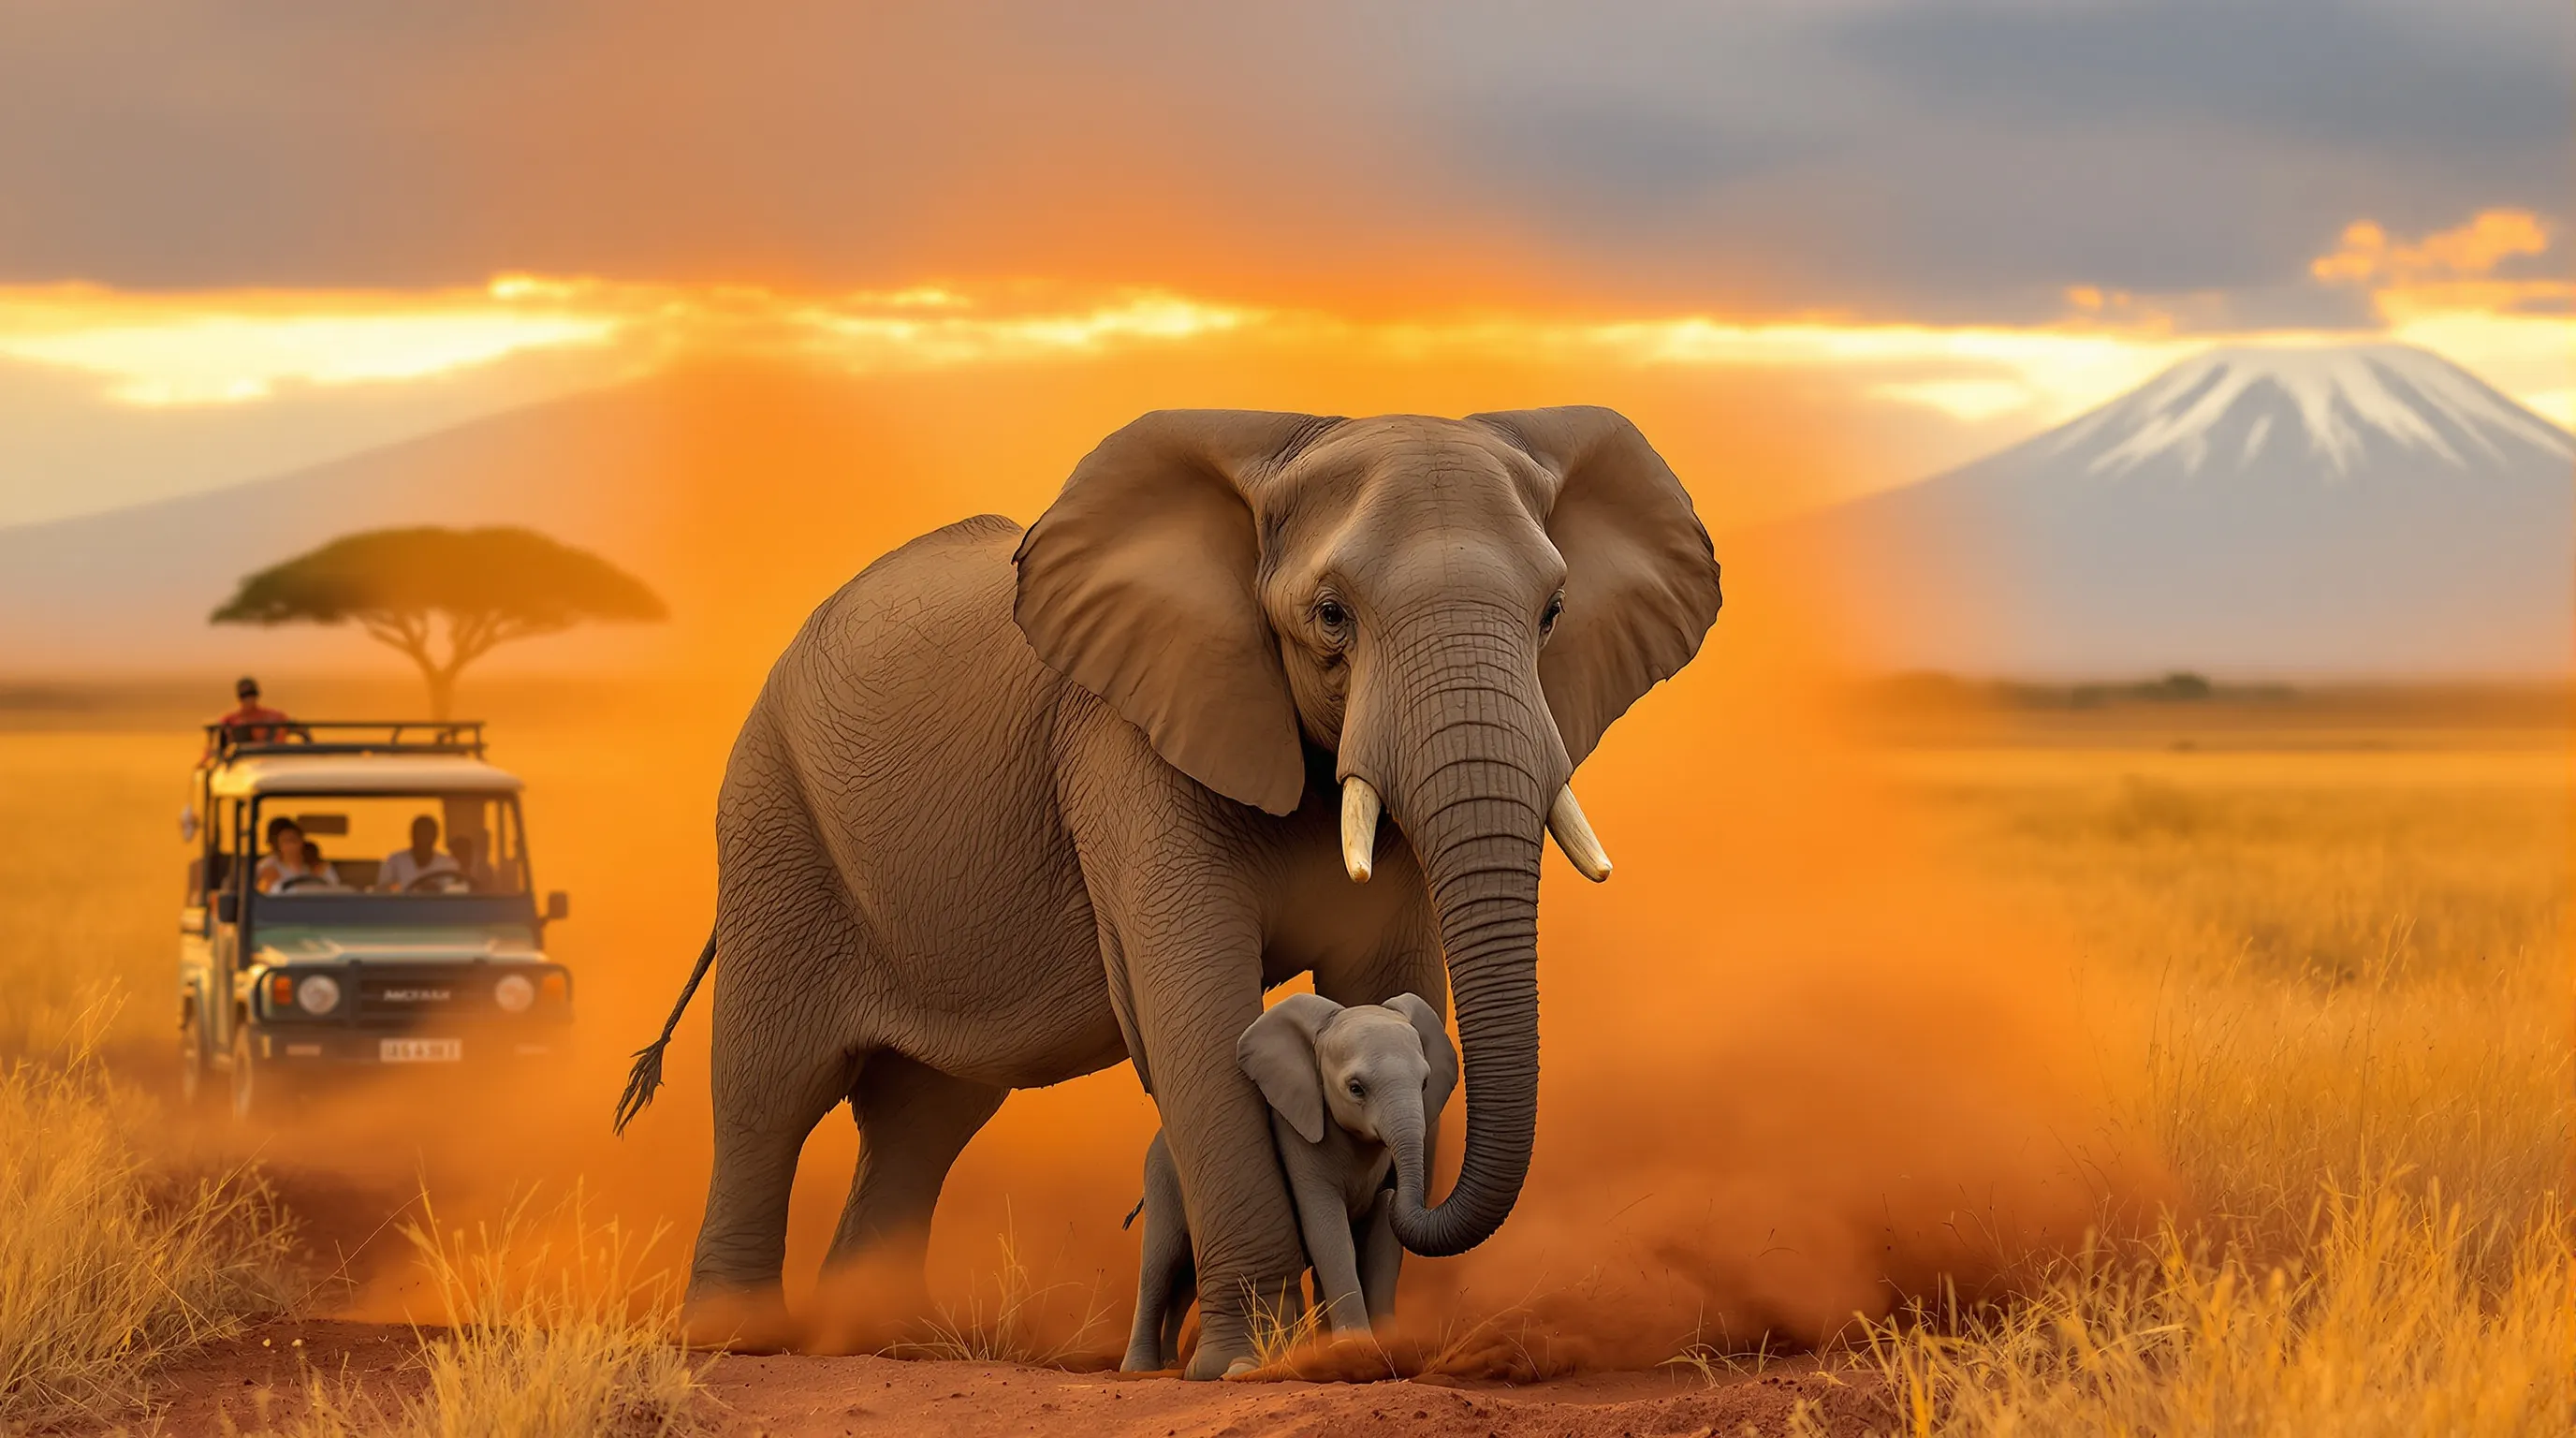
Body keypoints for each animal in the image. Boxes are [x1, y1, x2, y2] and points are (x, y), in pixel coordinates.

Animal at [1123, 992, 1459, 1373]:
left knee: (1184, 1282)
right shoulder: (1297, 1138)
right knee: (1159, 1266)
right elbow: (1327, 1231)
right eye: (1356, 1089)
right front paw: (1353, 1347)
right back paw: (1139, 1369)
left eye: (1425, 1084)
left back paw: (1169, 1363)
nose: (1394, 1187)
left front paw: (1388, 1347)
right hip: (1161, 1180)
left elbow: (1381, 1239)